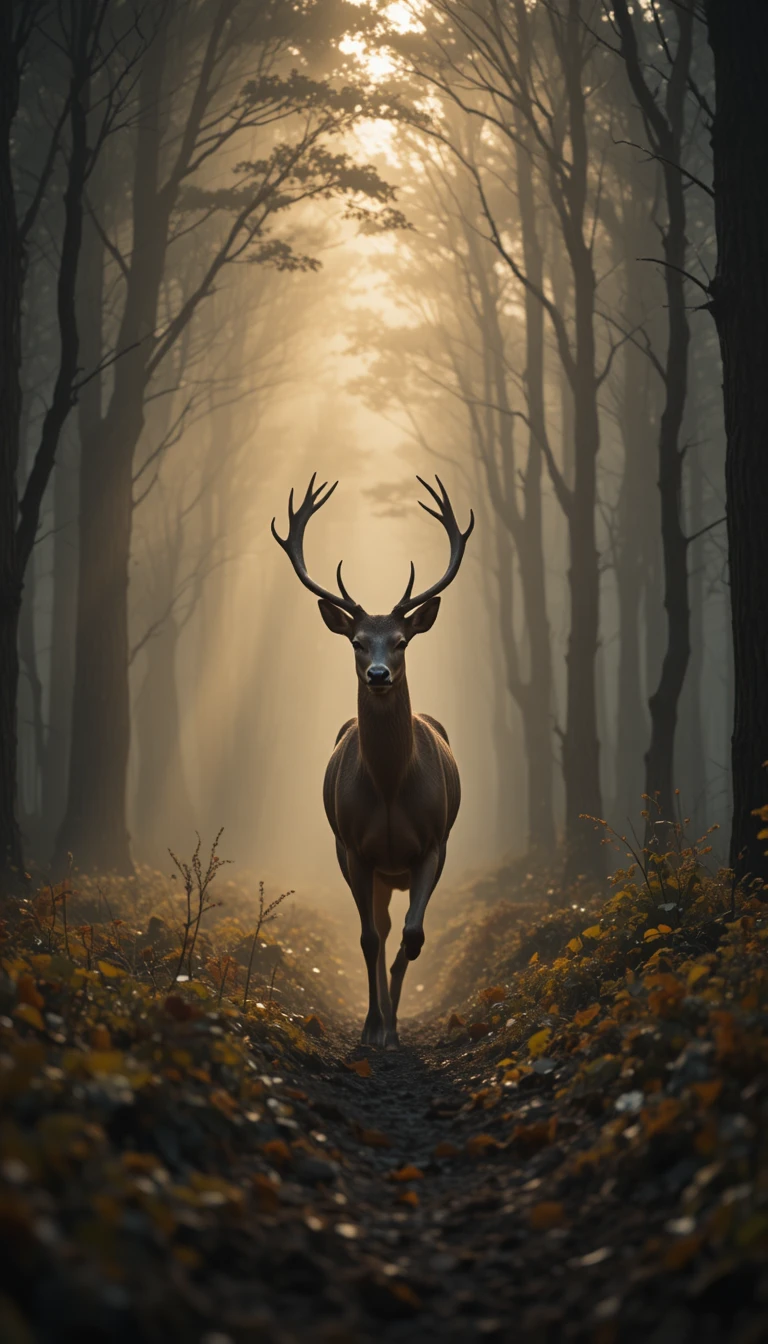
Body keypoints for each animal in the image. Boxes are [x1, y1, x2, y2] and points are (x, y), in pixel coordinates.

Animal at [272, 474, 474, 1047]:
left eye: (402, 641)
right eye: (358, 642)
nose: (379, 674)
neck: (388, 787)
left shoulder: (435, 842)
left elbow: (414, 934)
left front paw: (394, 1025)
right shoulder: (351, 846)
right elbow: (368, 938)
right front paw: (371, 1027)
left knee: (397, 930)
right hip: (369, 864)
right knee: (377, 930)